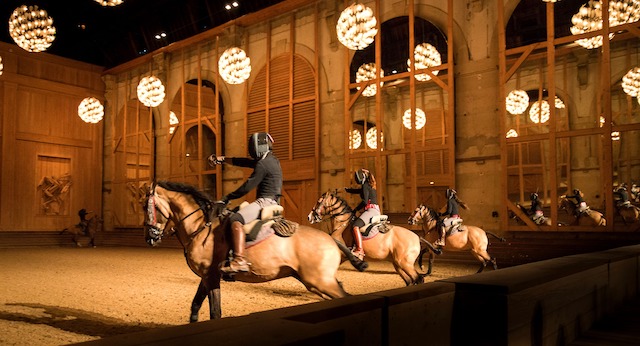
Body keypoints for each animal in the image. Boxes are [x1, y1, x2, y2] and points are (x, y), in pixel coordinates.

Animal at [145, 181, 364, 322]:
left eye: (147, 207)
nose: (150, 237)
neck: (200, 226)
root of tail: (330, 239)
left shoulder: (212, 276)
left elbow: (215, 312)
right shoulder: (207, 276)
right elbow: (195, 306)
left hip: (321, 281)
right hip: (315, 283)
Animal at [306, 191, 440, 286]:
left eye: (318, 202)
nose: (309, 217)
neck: (342, 225)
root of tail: (417, 236)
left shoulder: (341, 252)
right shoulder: (342, 255)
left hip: (405, 263)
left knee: (418, 279)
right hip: (398, 264)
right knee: (410, 281)